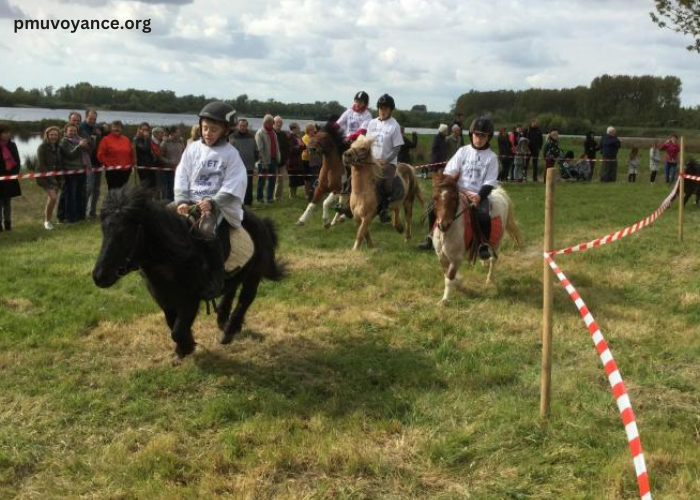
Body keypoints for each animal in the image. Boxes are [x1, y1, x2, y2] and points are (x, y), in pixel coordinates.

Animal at [93, 187, 284, 360]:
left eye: (126, 233)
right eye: (104, 230)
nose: (99, 276)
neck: (174, 256)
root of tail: (263, 223)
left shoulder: (191, 300)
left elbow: (177, 330)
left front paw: (185, 348)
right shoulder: (164, 298)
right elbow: (172, 323)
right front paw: (185, 346)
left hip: (254, 274)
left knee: (246, 299)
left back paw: (229, 331)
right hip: (239, 273)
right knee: (231, 290)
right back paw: (224, 321)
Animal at [432, 172, 524, 302]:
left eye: (454, 198)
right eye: (435, 198)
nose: (443, 225)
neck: (448, 232)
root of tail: (499, 192)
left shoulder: (456, 258)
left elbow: (449, 278)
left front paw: (444, 300)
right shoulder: (441, 257)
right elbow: (448, 275)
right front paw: (459, 284)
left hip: (497, 242)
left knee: (493, 259)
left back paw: (489, 280)